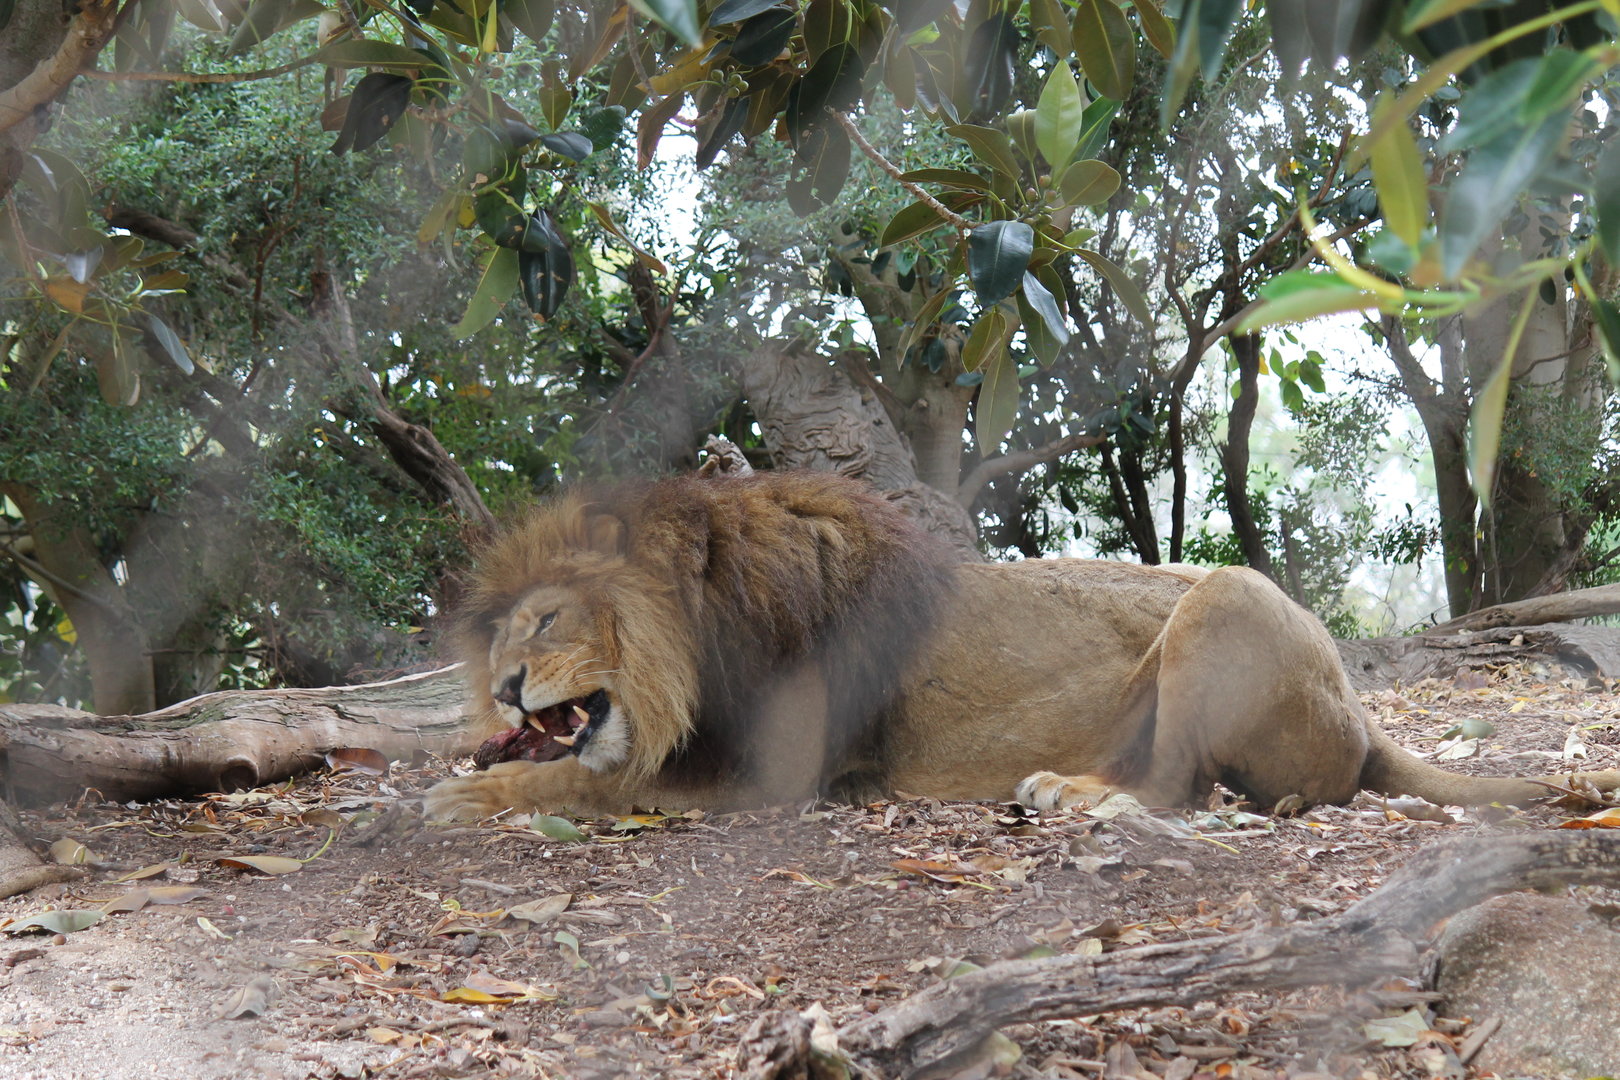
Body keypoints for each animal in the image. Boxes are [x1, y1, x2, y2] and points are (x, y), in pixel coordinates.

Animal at [424, 471, 1620, 820]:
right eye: (506, 629)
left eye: (548, 618)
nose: (505, 685)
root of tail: (1362, 717)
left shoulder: (776, 772)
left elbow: (595, 784)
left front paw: (464, 796)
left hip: (1229, 595)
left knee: (1183, 788)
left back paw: (1081, 796)